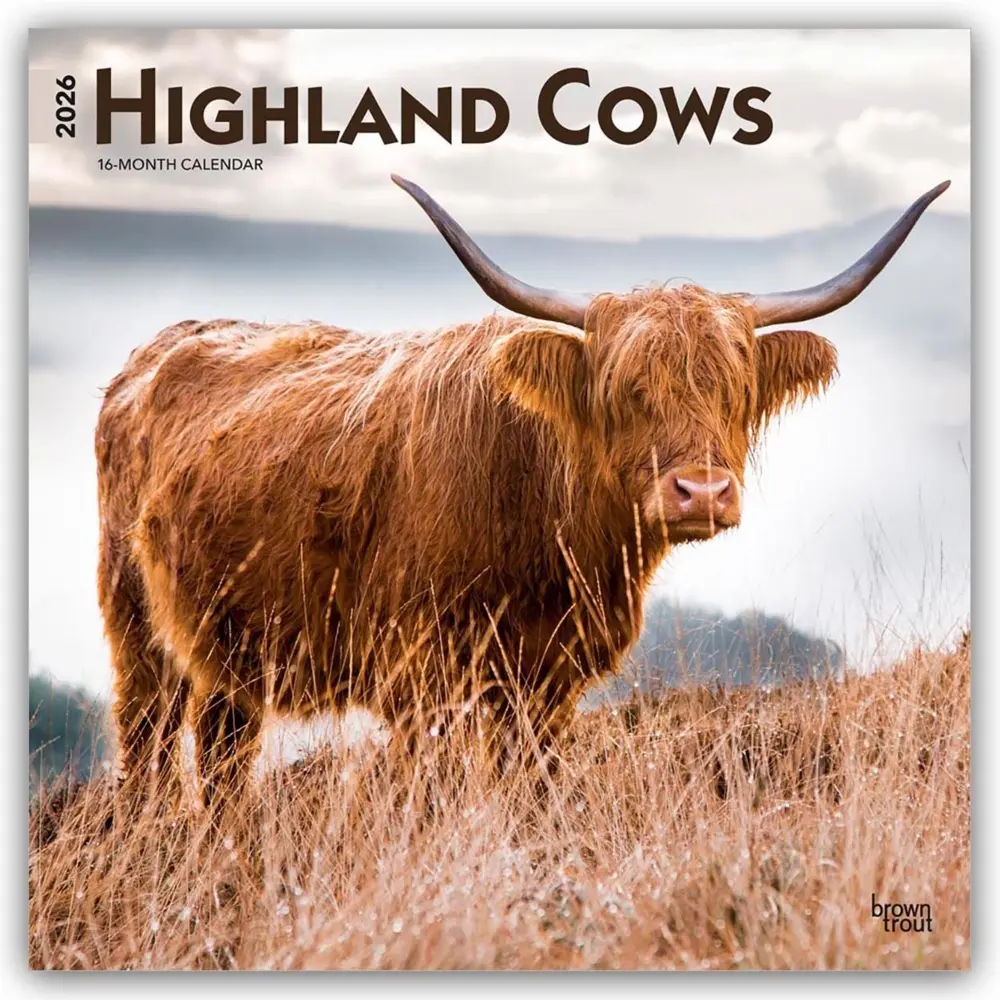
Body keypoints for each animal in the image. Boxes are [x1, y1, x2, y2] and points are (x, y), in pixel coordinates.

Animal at [95, 176, 949, 804]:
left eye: (735, 390)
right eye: (626, 389)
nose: (701, 492)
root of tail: (155, 349)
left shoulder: (549, 685)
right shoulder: (423, 676)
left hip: (229, 651)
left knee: (223, 750)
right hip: (137, 627)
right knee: (148, 742)